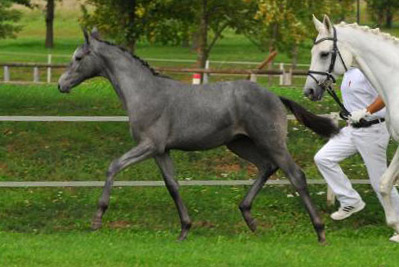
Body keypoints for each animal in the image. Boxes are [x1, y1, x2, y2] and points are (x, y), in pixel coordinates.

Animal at [57, 29, 340, 245]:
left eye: (78, 57)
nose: (61, 85)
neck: (145, 92)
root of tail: (275, 96)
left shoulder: (149, 145)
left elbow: (113, 166)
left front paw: (97, 218)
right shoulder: (161, 151)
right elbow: (172, 185)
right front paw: (184, 229)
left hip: (272, 142)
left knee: (296, 176)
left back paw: (320, 232)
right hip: (239, 144)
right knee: (266, 167)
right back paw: (248, 217)